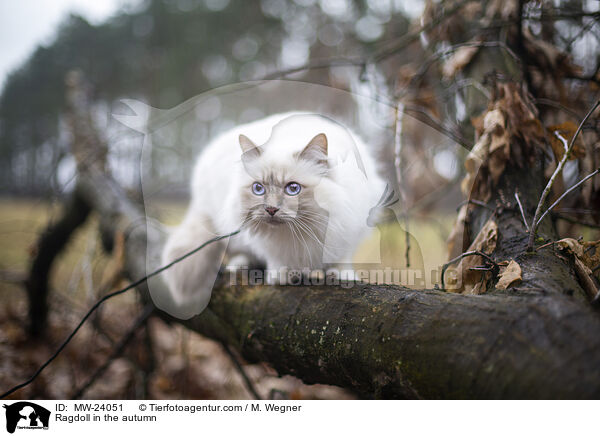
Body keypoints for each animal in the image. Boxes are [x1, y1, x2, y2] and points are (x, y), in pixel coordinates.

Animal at [162, 112, 384, 316]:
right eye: (258, 189)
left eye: (293, 188)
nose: (270, 209)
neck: (298, 235)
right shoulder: (269, 246)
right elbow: (277, 260)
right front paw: (284, 275)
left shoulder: (348, 231)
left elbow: (341, 259)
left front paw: (342, 276)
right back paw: (241, 265)